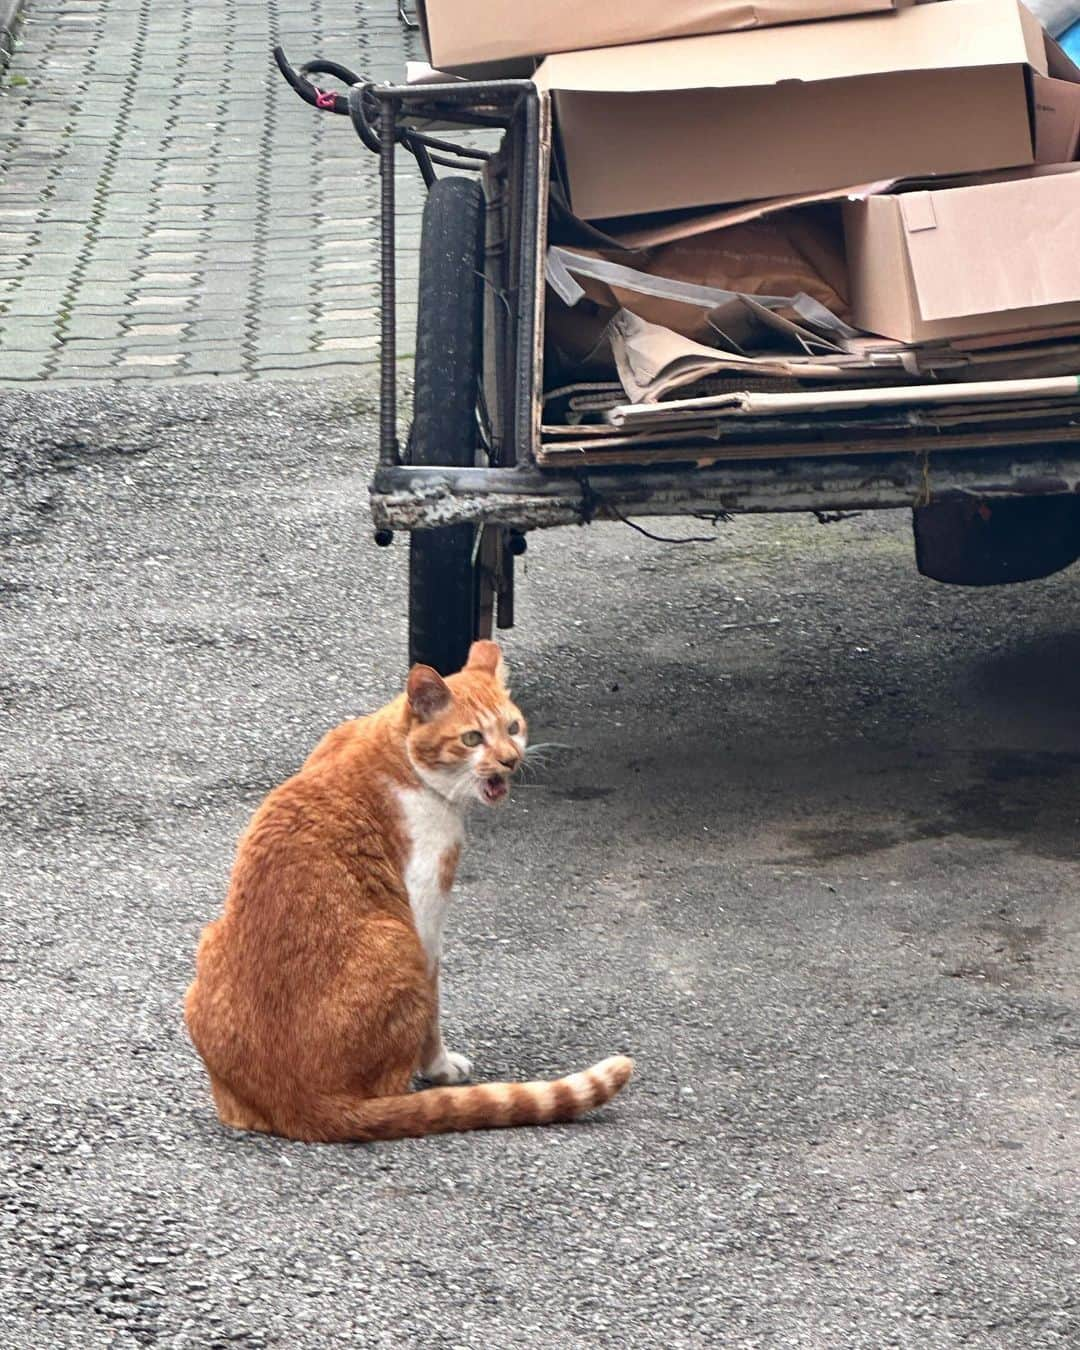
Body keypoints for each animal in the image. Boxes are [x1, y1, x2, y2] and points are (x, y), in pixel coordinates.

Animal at [180, 639, 629, 1139]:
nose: (510, 760)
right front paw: (439, 1068)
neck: (397, 751)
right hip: (398, 942)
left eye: (513, 728)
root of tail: (304, 1103)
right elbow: (433, 1010)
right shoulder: (425, 917)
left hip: (208, 946)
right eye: (472, 739)